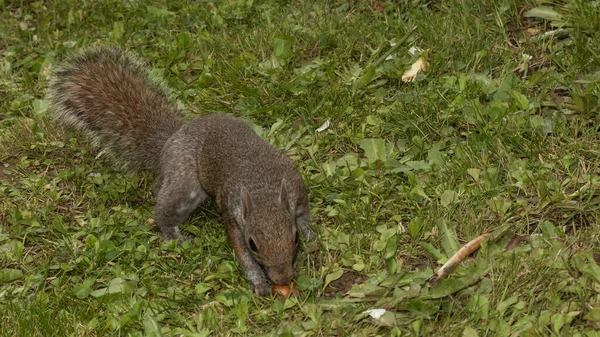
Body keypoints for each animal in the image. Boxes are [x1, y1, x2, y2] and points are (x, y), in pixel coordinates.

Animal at [44, 46, 312, 296]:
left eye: (294, 238)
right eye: (253, 244)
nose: (283, 278)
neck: (262, 188)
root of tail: (171, 139)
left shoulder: (295, 187)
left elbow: (303, 213)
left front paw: (311, 235)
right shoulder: (232, 216)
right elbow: (240, 252)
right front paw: (257, 280)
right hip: (184, 184)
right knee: (164, 213)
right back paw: (174, 235)